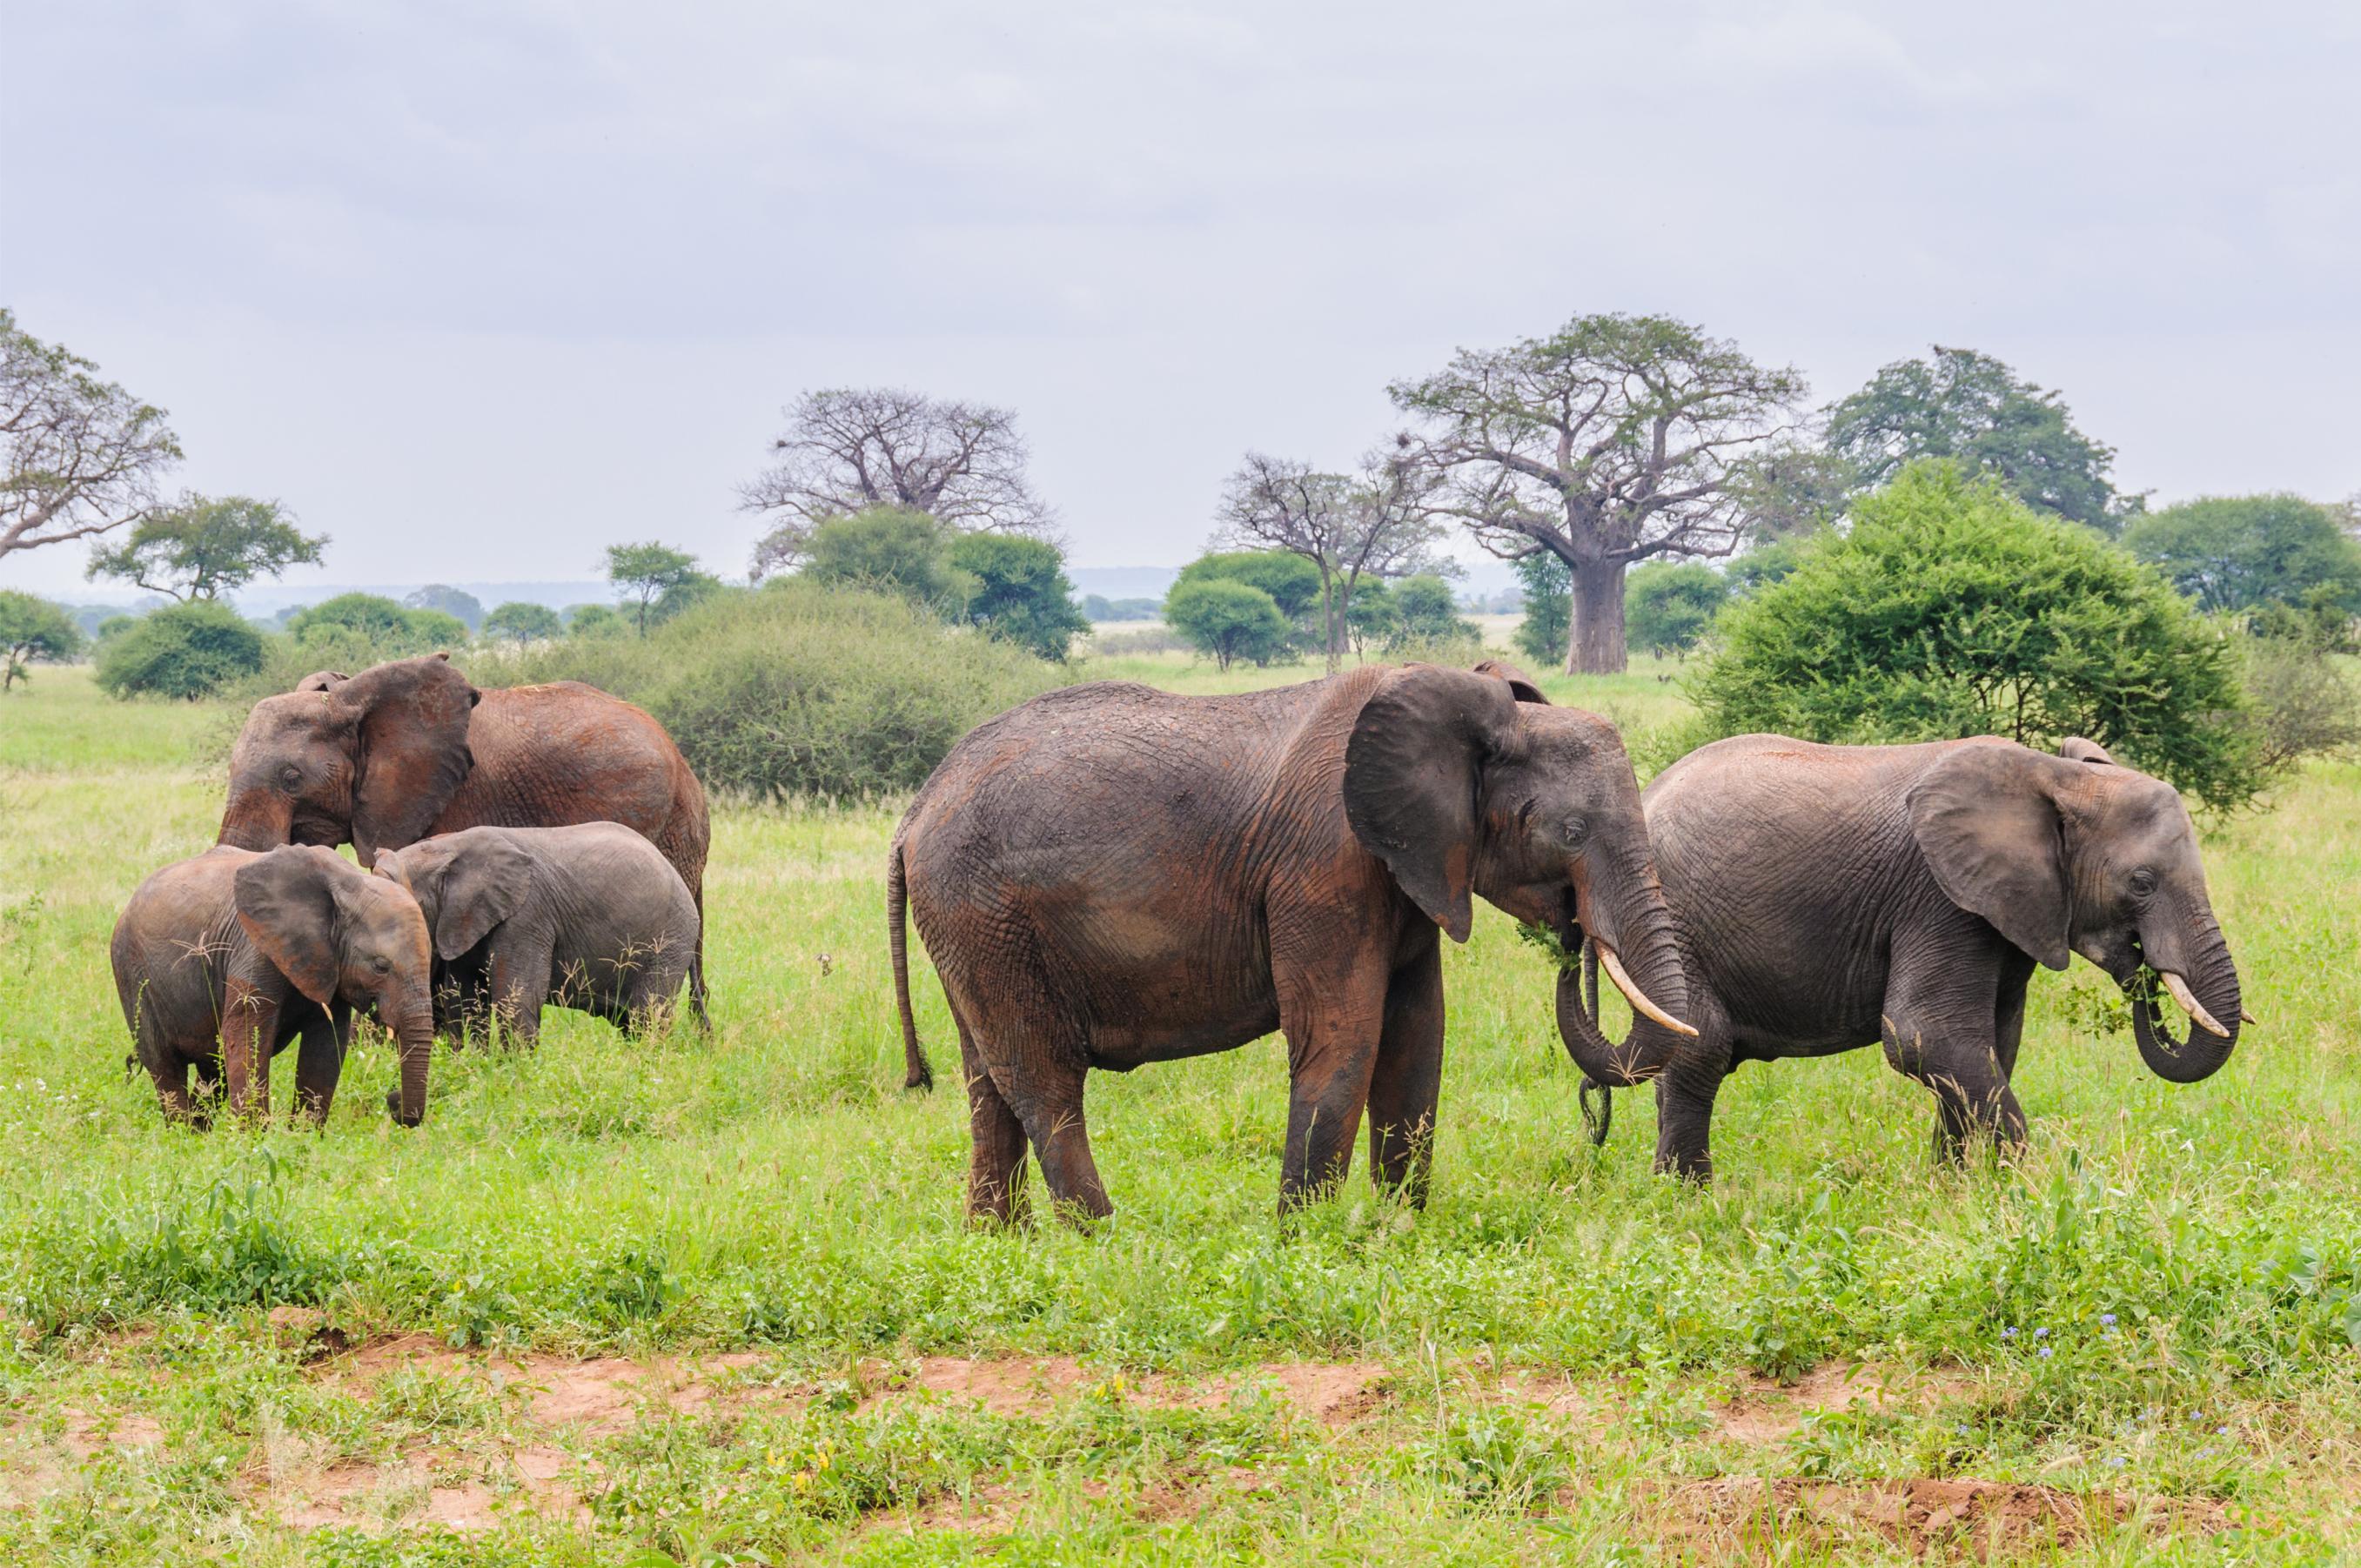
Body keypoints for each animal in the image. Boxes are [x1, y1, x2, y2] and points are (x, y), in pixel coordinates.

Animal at [113, 845, 444, 1129]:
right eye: (380, 966)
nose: (393, 1100)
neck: (349, 884)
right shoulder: (255, 950)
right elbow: (247, 1036)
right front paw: (254, 1140)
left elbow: (325, 1045)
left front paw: (302, 1138)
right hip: (132, 973)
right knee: (165, 1066)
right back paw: (183, 1137)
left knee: (213, 1071)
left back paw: (200, 1135)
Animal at [370, 812, 699, 1048]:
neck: (446, 848)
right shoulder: (463, 918)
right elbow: (466, 998)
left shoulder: (527, 915)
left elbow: (516, 995)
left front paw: (515, 1072)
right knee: (631, 1020)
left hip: (669, 941)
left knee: (648, 1015)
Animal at [888, 660, 1700, 1228]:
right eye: (1570, 833)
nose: (1569, 931)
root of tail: (915, 811)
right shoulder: (1325, 863)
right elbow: (1344, 1037)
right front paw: (1305, 1241)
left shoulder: (1405, 868)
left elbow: (1417, 1040)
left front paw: (1399, 1230)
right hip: (984, 915)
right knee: (1042, 1080)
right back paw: (1106, 1241)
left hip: (972, 928)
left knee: (988, 1082)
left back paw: (1002, 1246)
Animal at [1558, 736, 2237, 1176]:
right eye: (2141, 884)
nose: (2143, 970)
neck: (2055, 776)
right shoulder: (1939, 898)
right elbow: (1924, 1037)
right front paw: (2031, 1192)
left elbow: (1991, 1045)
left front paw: (1956, 1189)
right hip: (1677, 920)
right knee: (1701, 1049)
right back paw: (1687, 1199)